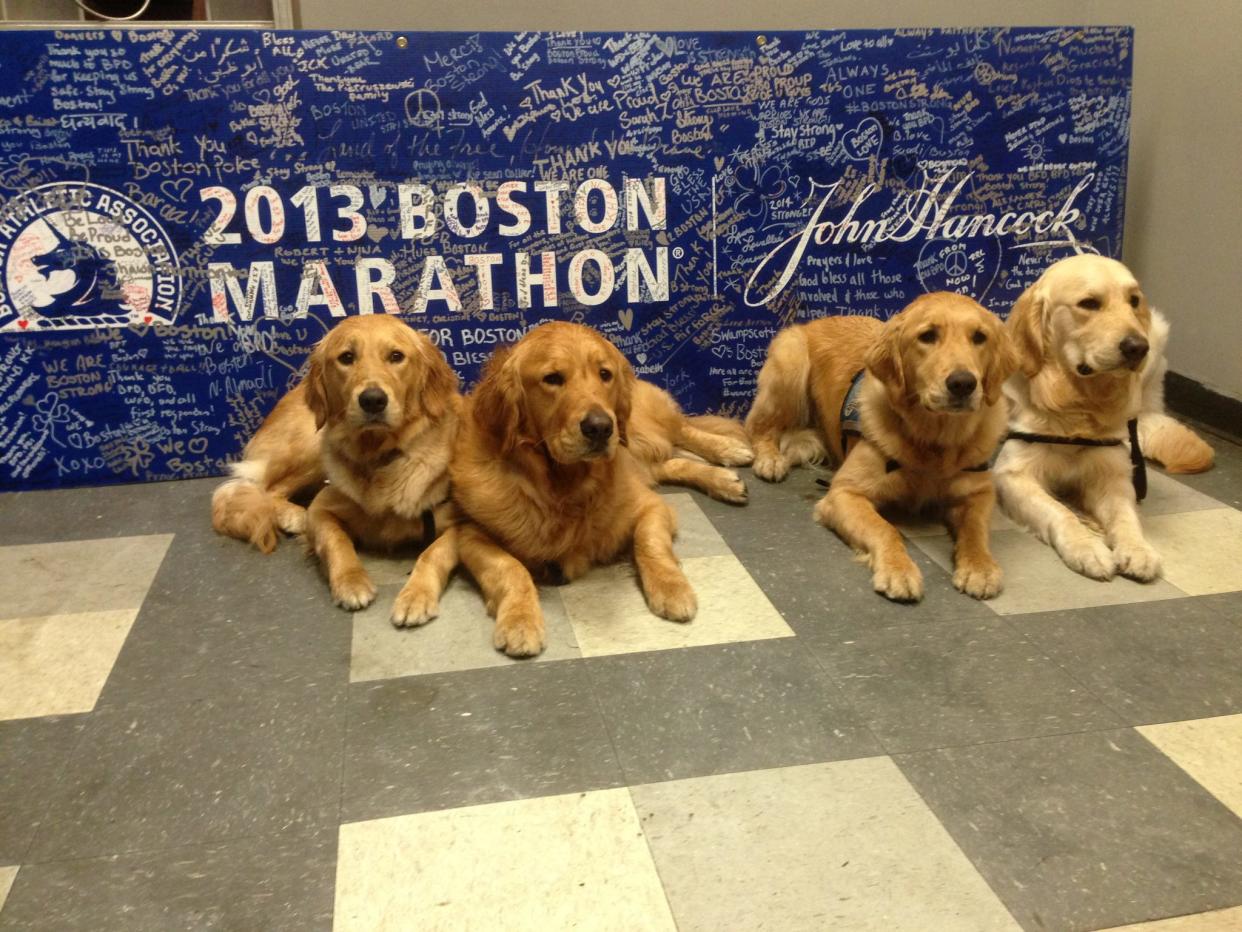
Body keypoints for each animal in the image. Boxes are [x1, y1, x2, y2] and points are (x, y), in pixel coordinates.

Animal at [208, 315, 462, 628]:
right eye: (347, 358)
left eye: (396, 356)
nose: (373, 399)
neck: (379, 458)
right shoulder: (322, 508)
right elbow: (336, 541)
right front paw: (351, 582)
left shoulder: (460, 523)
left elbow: (432, 552)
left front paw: (416, 596)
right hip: (312, 444)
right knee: (267, 489)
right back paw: (293, 516)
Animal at [745, 293, 1018, 606]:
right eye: (927, 336)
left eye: (979, 337)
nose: (963, 383)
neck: (932, 442)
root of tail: (814, 321)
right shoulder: (844, 494)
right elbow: (885, 529)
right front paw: (899, 571)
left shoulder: (979, 493)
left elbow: (976, 530)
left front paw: (980, 567)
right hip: (791, 361)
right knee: (758, 427)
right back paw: (770, 460)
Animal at [998, 252, 1212, 581]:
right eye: (1089, 303)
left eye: (1134, 300)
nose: (1137, 347)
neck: (1079, 404)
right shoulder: (1012, 474)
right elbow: (1058, 511)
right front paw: (1087, 547)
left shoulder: (1114, 474)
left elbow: (1125, 516)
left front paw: (1138, 549)